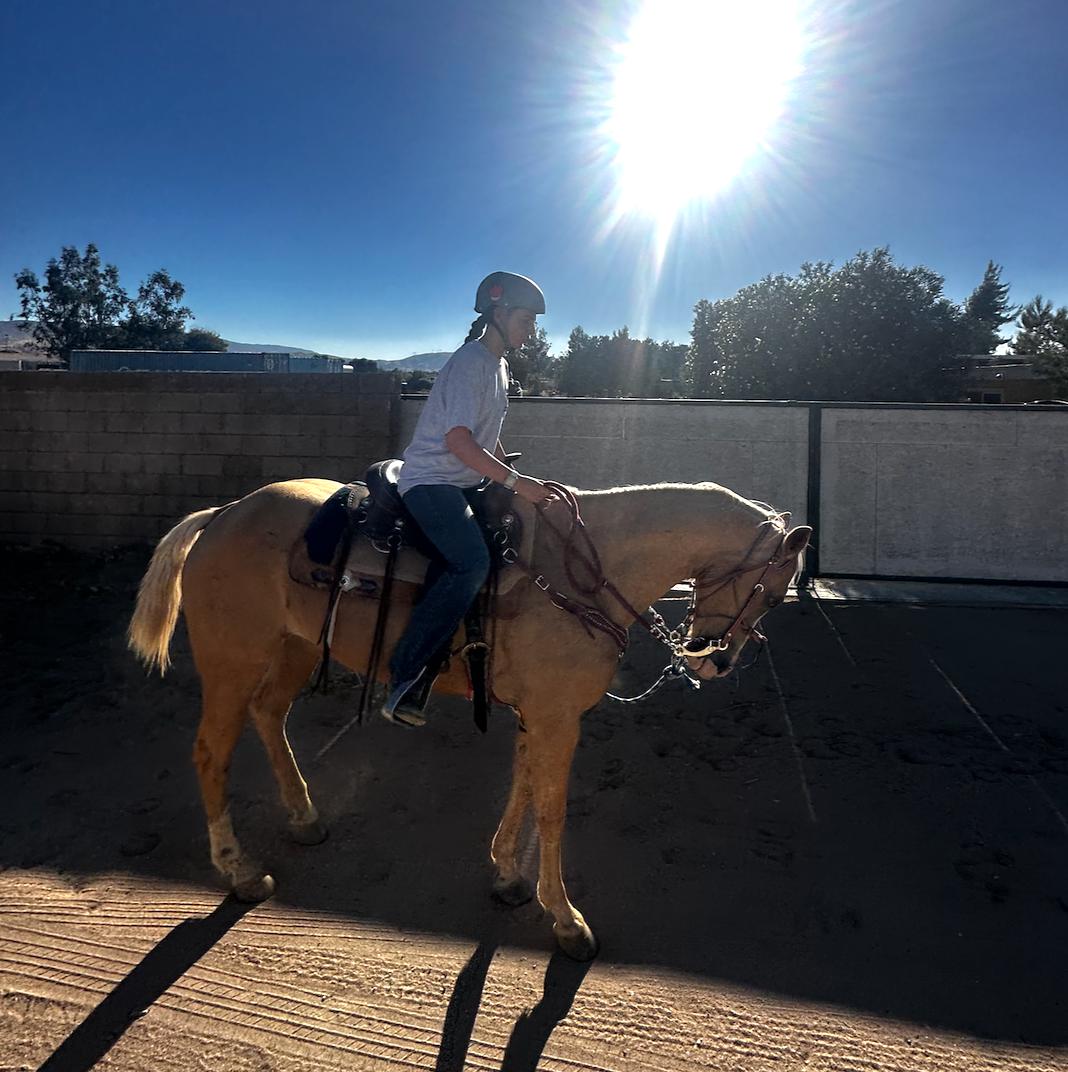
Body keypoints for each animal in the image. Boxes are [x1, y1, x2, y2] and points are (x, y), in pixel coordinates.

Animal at [128, 476, 810, 960]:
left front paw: (508, 874)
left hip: (293, 648)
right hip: (233, 659)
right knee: (212, 753)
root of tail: (221, 516)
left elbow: (524, 784)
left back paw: (304, 817)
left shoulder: (541, 711)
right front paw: (566, 921)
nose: (715, 662)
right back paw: (240, 870)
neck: (585, 572)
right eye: (775, 592)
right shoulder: (558, 715)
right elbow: (552, 810)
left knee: (270, 716)